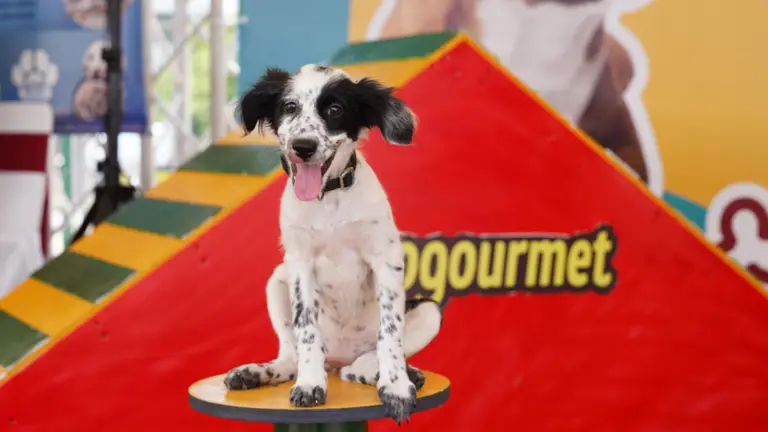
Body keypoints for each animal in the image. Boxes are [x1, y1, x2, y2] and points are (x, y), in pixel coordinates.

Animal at [222, 65, 443, 424]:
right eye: (289, 107)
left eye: (335, 109)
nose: (303, 146)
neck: (328, 199)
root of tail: (338, 359)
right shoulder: (299, 265)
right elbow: (306, 331)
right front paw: (310, 384)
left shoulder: (386, 258)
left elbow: (390, 332)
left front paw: (396, 386)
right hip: (276, 281)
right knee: (291, 354)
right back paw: (260, 372)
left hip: (429, 311)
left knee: (365, 359)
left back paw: (382, 372)